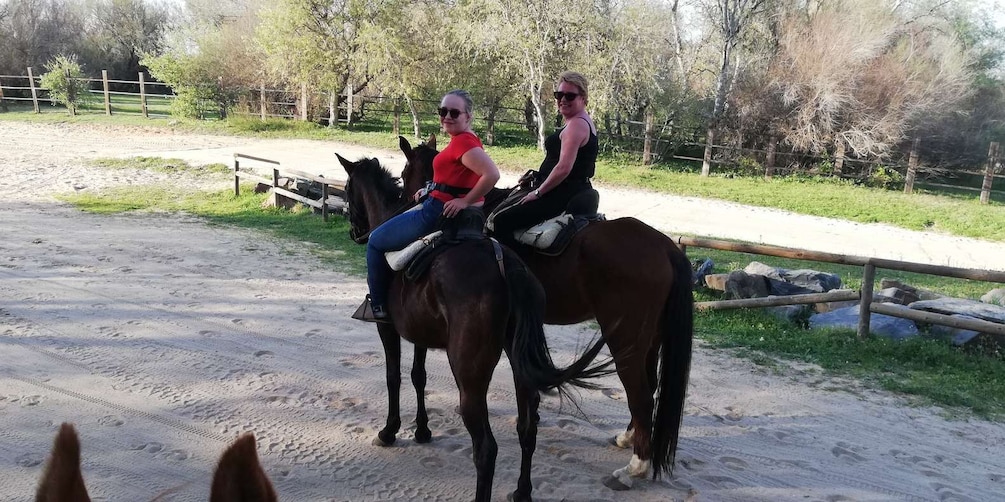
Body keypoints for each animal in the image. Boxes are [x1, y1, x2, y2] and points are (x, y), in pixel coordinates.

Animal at [337, 150, 607, 499]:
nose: (354, 233)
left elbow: (393, 376)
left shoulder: (388, 328)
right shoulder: (420, 333)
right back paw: (522, 490)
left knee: (485, 449)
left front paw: (390, 430)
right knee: (527, 425)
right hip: (519, 362)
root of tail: (506, 267)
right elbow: (418, 376)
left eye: (347, 189)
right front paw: (422, 429)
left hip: (469, 375)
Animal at [395, 135, 695, 491]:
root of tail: (665, 246)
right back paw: (630, 438)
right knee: (648, 386)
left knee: (640, 392)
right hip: (650, 338)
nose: (403, 203)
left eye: (404, 173)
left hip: (626, 338)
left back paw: (635, 467)